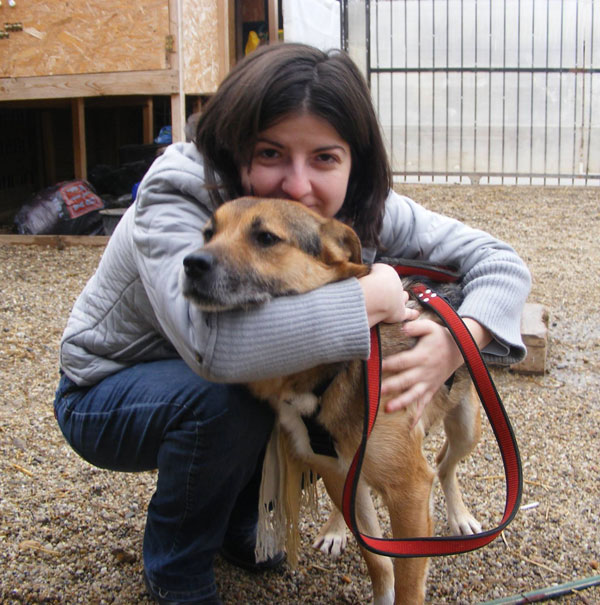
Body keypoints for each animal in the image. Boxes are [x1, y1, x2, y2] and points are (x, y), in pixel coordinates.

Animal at [179, 196, 482, 600]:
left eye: (265, 237)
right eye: (208, 234)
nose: (191, 263)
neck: (329, 372)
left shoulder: (410, 490)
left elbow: (407, 582)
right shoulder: (336, 470)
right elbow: (376, 560)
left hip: (465, 427)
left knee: (445, 462)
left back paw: (460, 516)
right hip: (340, 468)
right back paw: (337, 529)